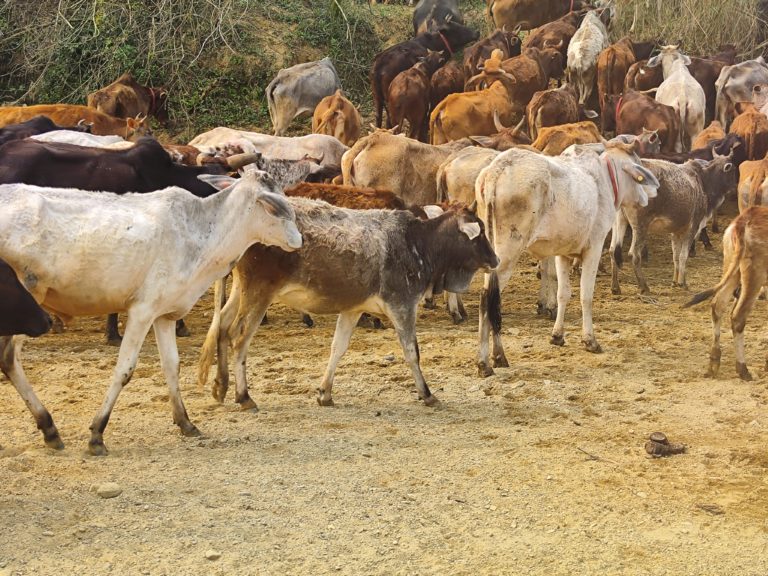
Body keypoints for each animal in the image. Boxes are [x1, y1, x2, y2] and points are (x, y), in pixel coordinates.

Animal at [0, 172, 301, 453]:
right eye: (272, 207)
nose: (298, 240)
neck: (201, 233)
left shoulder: (164, 315)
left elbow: (172, 365)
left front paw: (186, 422)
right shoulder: (142, 311)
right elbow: (124, 369)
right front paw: (97, 434)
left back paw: (49, 429)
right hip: (29, 305)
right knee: (9, 358)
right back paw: (49, 427)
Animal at [197, 195, 498, 409]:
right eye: (481, 231)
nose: (495, 259)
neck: (417, 243)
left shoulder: (353, 308)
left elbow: (337, 348)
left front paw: (324, 393)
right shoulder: (402, 304)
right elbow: (412, 352)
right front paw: (427, 394)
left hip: (241, 290)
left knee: (221, 328)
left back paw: (220, 386)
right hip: (259, 292)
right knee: (239, 339)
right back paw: (243, 396)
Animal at [476, 140, 660, 377]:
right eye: (637, 164)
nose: (652, 193)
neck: (605, 179)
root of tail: (497, 170)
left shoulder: (562, 254)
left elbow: (562, 294)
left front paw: (557, 335)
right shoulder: (594, 248)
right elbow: (585, 296)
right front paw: (590, 340)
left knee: (488, 299)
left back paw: (492, 359)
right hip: (508, 252)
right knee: (490, 298)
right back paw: (490, 359)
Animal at [610, 153, 736, 295]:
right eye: (733, 170)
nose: (735, 190)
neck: (702, 181)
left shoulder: (676, 231)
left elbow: (675, 255)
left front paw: (675, 281)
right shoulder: (692, 227)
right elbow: (683, 255)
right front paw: (682, 283)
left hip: (618, 222)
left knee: (613, 251)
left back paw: (615, 287)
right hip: (640, 226)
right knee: (634, 254)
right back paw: (644, 287)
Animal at [683, 206, 768, 380]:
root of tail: (745, 219)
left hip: (732, 267)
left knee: (718, 305)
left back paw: (713, 363)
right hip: (753, 276)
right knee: (738, 316)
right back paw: (743, 369)